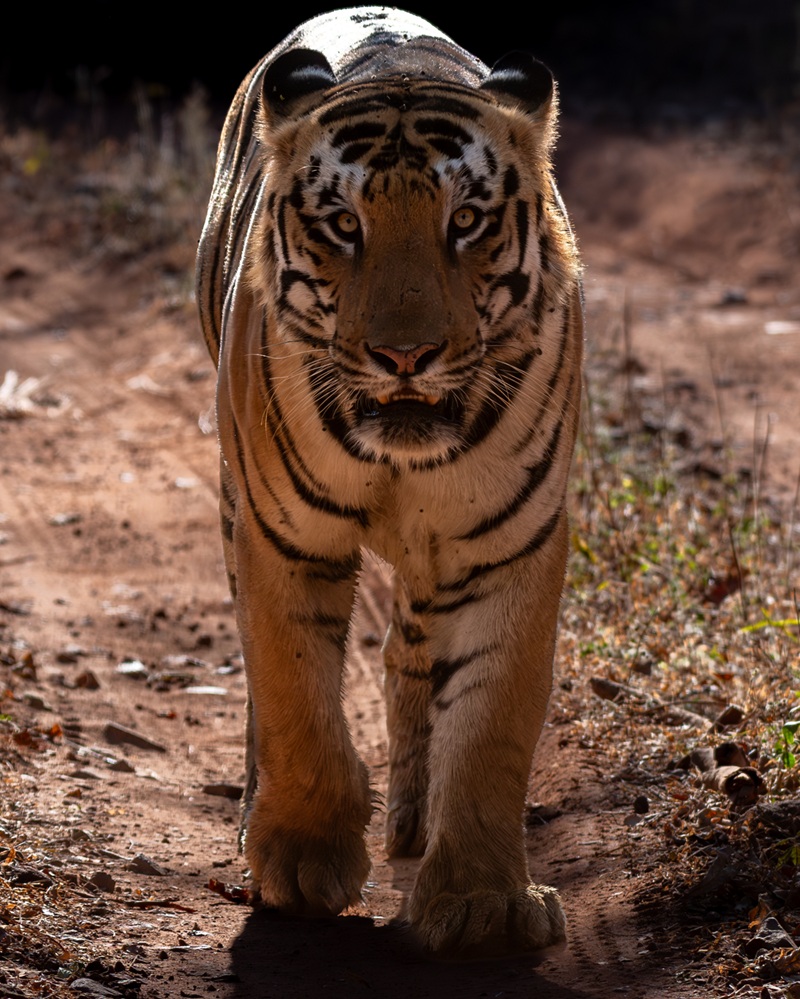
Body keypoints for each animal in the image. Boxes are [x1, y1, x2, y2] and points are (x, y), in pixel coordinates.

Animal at [196, 6, 583, 957]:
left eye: (467, 220)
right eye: (343, 225)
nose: (405, 355)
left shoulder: (512, 543)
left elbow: (492, 722)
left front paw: (484, 900)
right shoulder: (282, 534)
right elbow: (294, 693)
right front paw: (301, 861)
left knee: (411, 654)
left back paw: (412, 817)